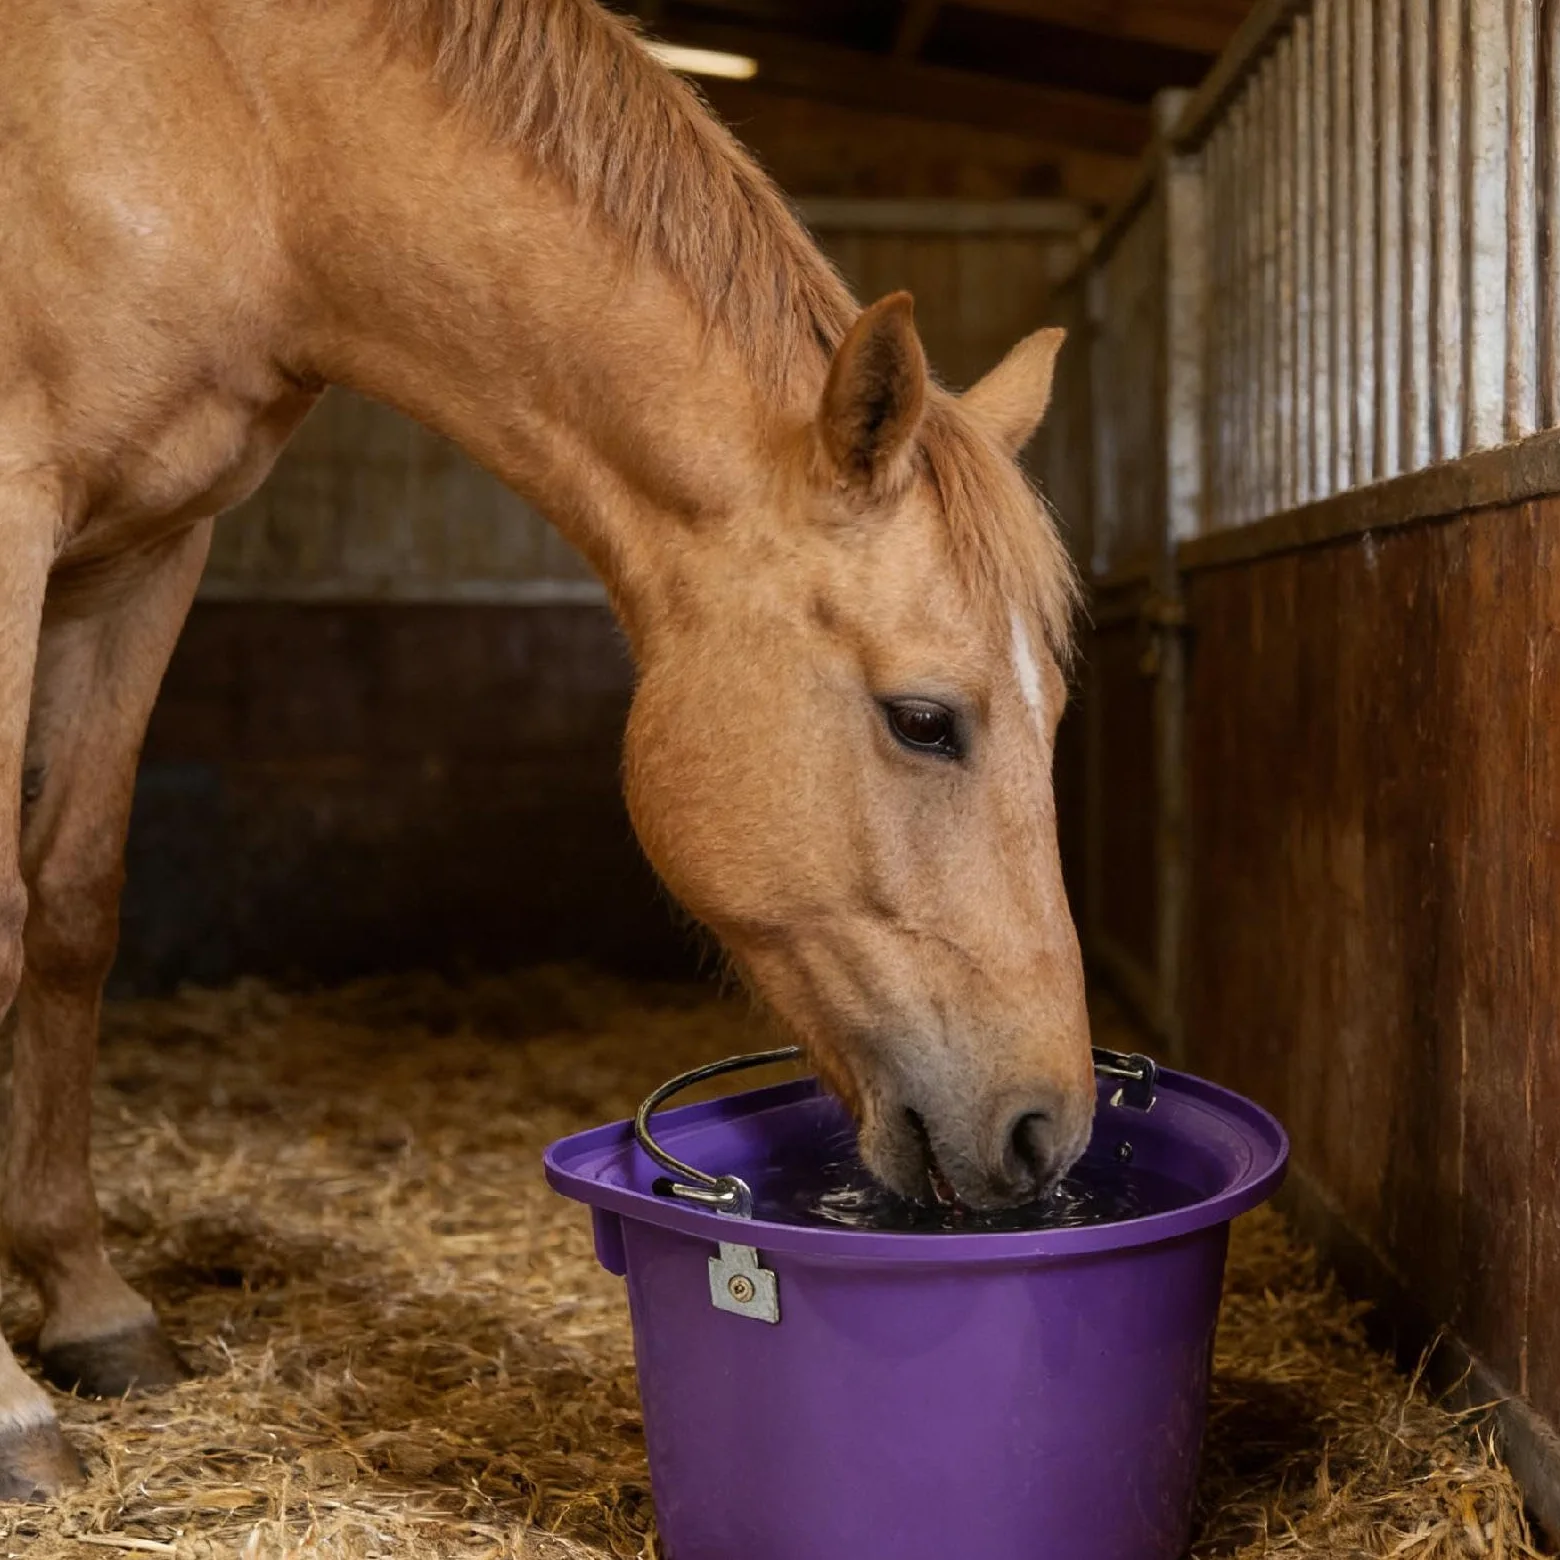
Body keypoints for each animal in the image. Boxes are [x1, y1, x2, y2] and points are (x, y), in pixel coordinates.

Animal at [0, 0, 1093, 1498]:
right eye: (924, 720)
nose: (1050, 1130)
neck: (240, 130)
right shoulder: (15, 513)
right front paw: (9, 1409)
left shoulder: (146, 552)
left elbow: (68, 913)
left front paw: (91, 1308)